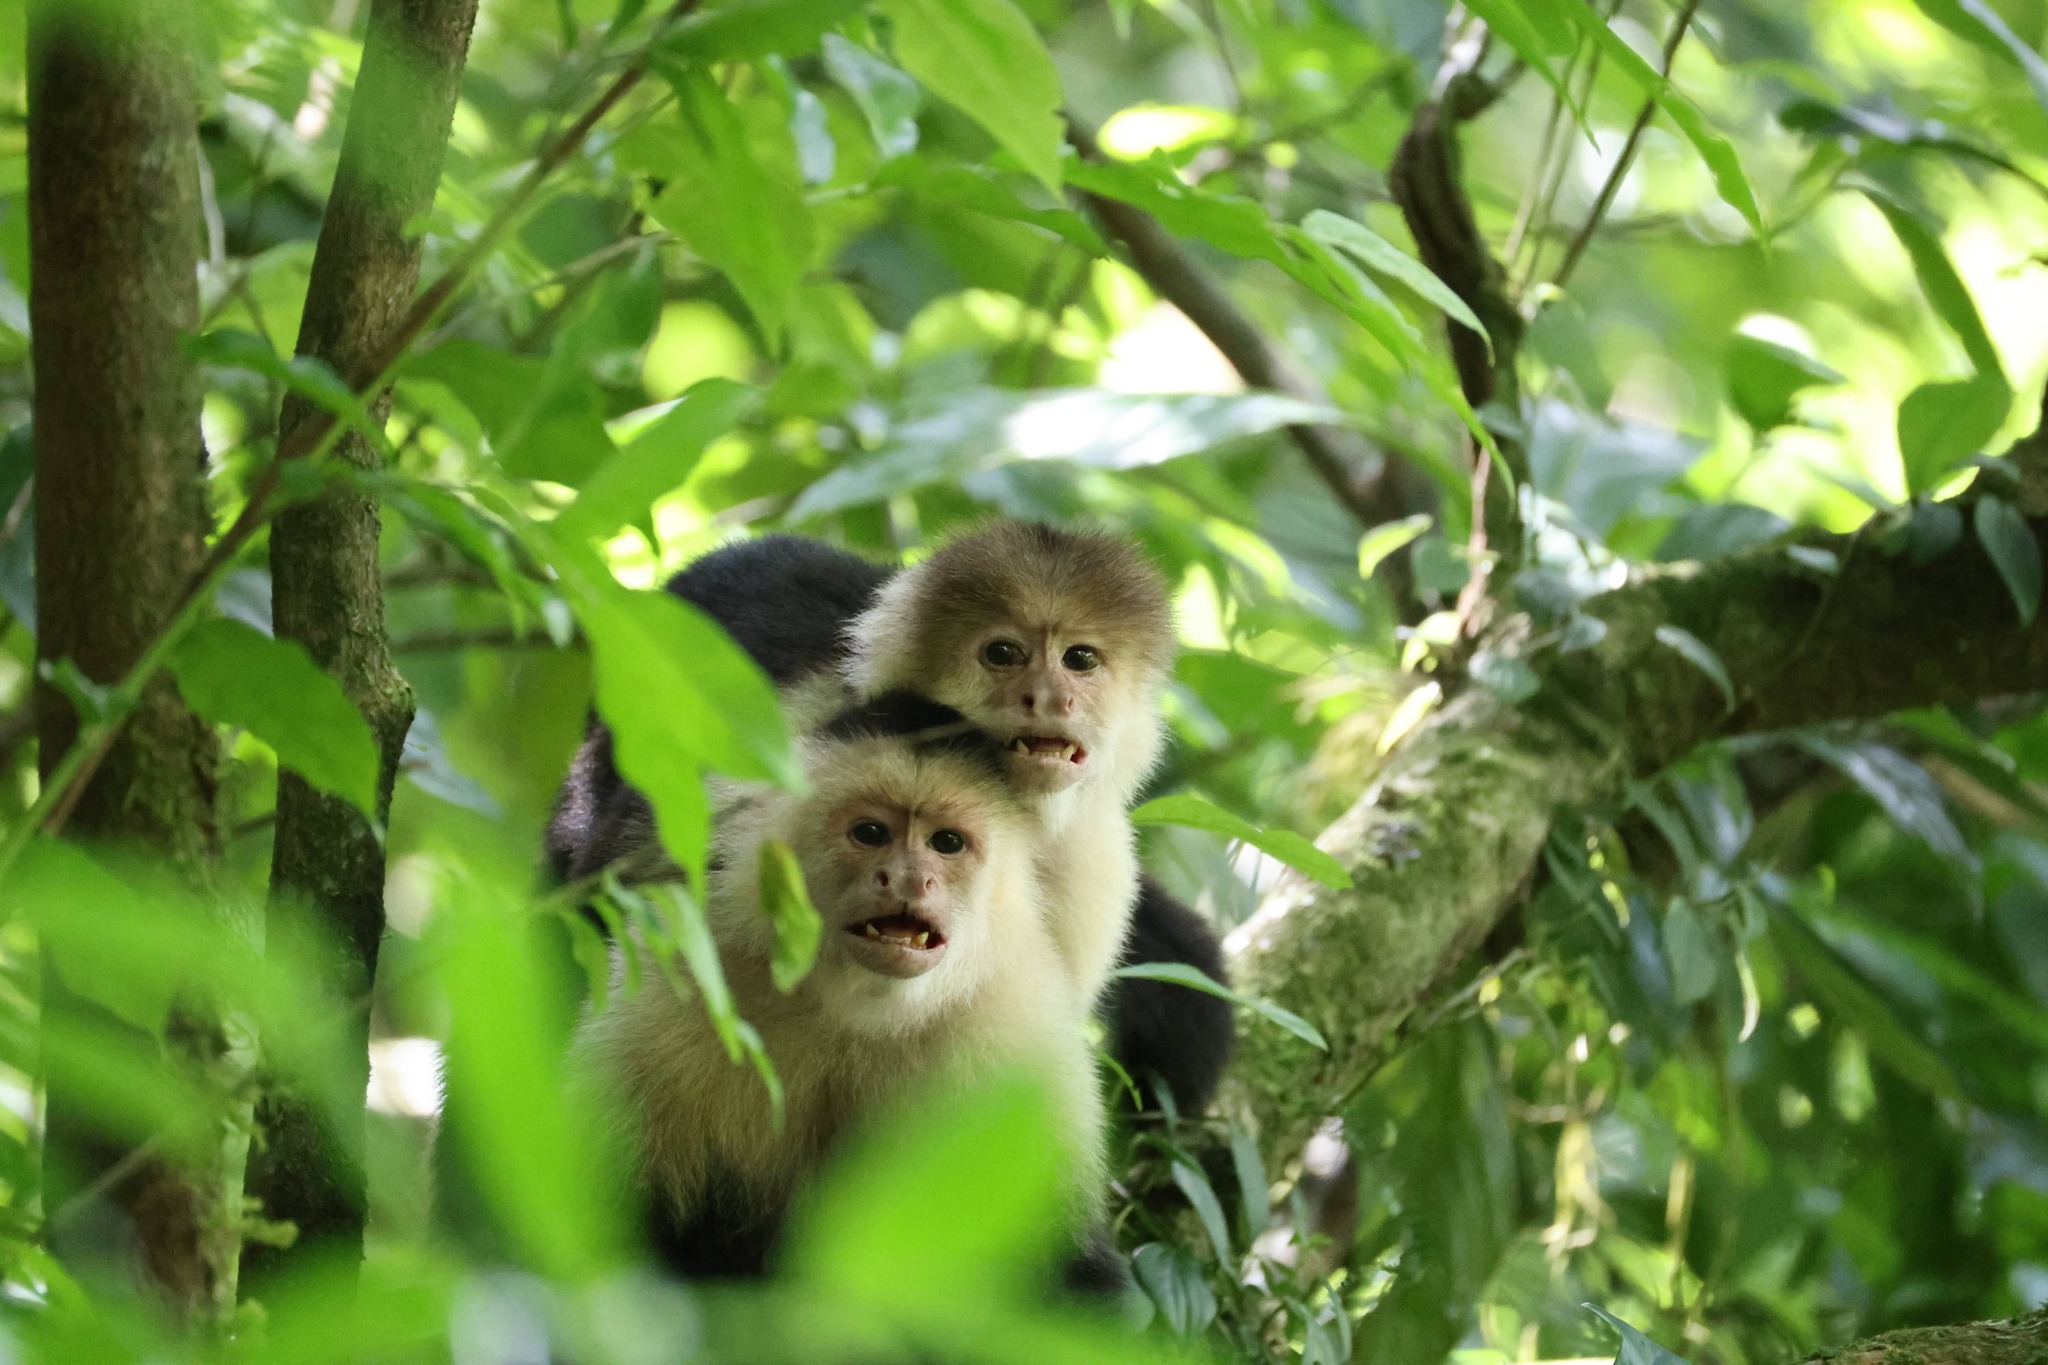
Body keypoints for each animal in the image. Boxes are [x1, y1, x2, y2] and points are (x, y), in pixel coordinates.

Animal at [569, 693, 1121, 1290]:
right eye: (871, 833)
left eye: (947, 843)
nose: (908, 878)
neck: (860, 1009)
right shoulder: (678, 986)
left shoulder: (1020, 1031)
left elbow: (1066, 1270)